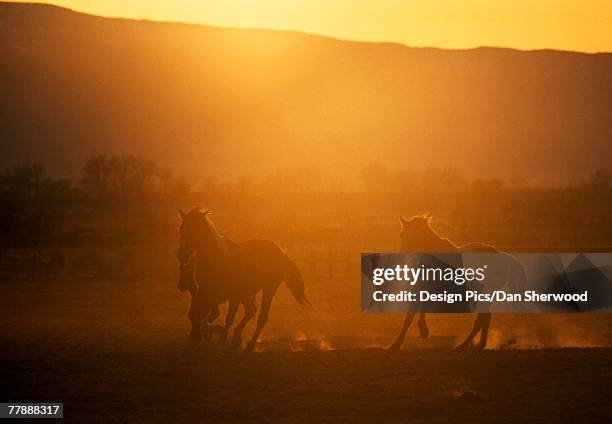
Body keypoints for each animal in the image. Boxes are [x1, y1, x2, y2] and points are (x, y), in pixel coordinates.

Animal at [177, 208, 310, 352]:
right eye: (182, 230)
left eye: (194, 231)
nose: (181, 256)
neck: (218, 260)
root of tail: (281, 253)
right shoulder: (203, 293)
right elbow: (200, 316)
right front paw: (209, 334)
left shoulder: (233, 296)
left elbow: (226, 318)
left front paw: (219, 337)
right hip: (247, 293)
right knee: (251, 311)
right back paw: (236, 338)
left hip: (268, 289)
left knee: (261, 317)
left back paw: (249, 345)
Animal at [388, 214, 524, 350]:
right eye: (402, 235)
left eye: (417, 235)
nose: (401, 257)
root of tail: (503, 256)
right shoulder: (421, 289)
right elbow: (412, 315)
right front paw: (421, 332)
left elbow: (412, 315)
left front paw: (399, 342)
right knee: (485, 317)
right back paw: (479, 344)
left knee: (481, 319)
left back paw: (464, 345)